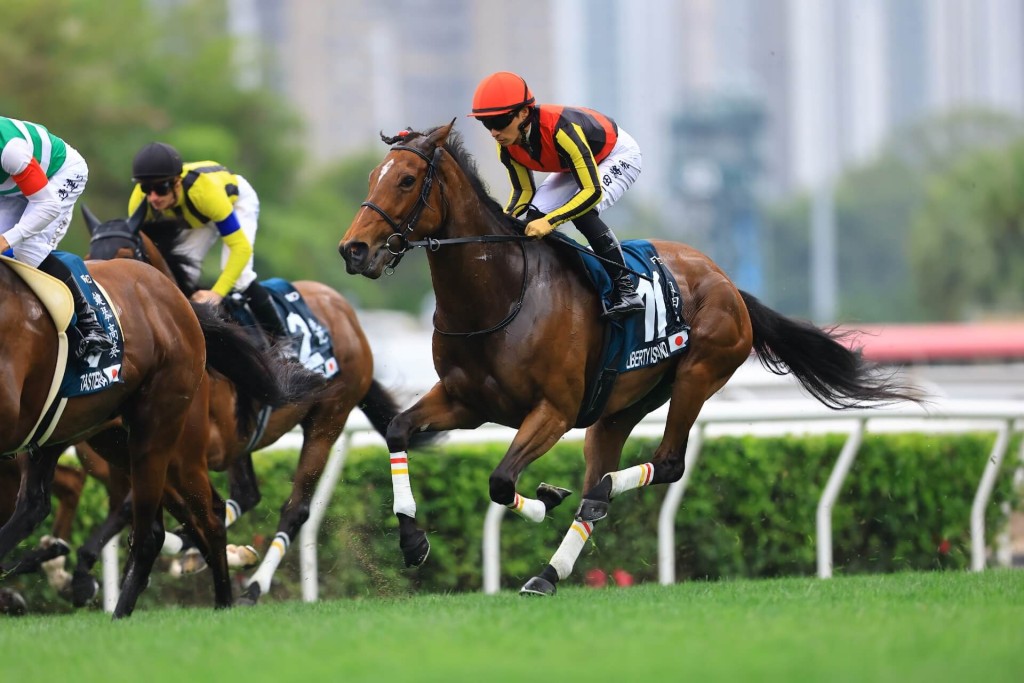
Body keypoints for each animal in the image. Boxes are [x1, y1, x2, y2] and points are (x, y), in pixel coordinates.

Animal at [83, 207, 440, 605]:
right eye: (91, 255)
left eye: (125, 254)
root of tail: (347, 314)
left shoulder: (194, 450)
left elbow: (138, 503)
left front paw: (80, 572)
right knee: (247, 494)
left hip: (327, 420)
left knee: (295, 509)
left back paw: (254, 586)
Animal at [337, 122, 923, 595]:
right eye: (370, 177)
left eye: (406, 180)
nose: (354, 250)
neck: (502, 293)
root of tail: (727, 282)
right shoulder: (466, 402)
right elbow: (399, 430)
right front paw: (413, 541)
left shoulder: (553, 411)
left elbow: (501, 480)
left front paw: (543, 498)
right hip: (619, 407)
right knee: (600, 491)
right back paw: (548, 573)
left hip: (697, 375)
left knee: (662, 465)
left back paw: (579, 507)